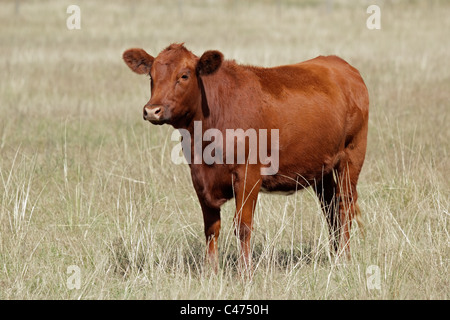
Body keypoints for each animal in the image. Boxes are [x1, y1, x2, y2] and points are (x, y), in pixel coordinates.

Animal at [123, 43, 370, 272]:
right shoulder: (199, 177)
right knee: (330, 209)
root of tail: (340, 64)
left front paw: (245, 273)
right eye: (151, 76)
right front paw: (210, 272)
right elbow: (211, 229)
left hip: (352, 155)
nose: (152, 110)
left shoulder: (249, 174)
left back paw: (345, 258)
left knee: (343, 205)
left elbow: (242, 226)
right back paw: (336, 255)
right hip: (321, 168)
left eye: (183, 75)